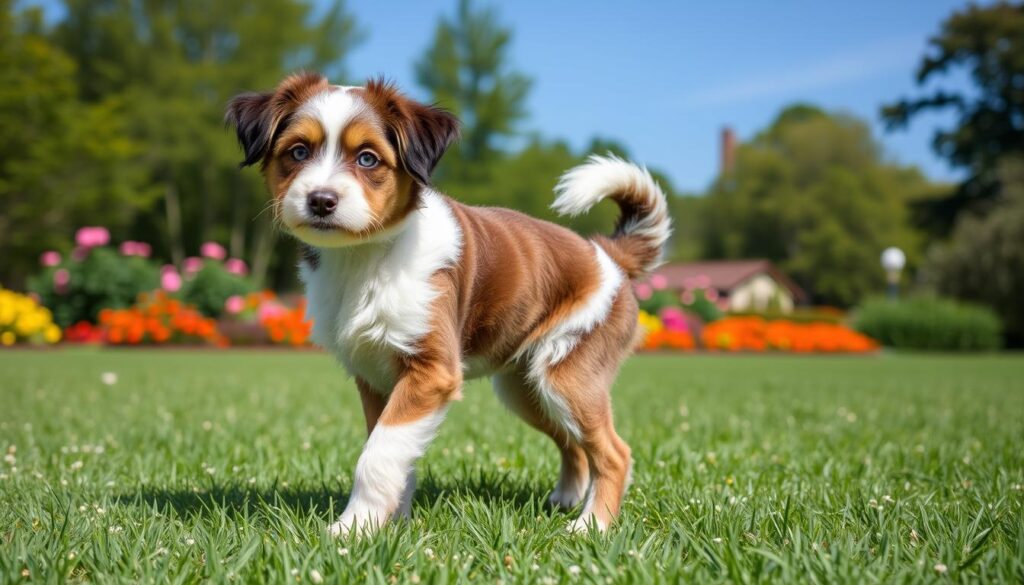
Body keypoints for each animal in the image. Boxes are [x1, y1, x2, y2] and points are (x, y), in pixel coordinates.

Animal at [225, 72, 671, 536]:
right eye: (298, 151)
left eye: (368, 159)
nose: (321, 200)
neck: (365, 259)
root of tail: (608, 255)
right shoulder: (375, 377)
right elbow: (394, 455)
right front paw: (390, 523)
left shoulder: (431, 371)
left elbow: (378, 455)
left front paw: (353, 529)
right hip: (526, 388)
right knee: (575, 443)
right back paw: (567, 500)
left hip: (568, 377)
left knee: (614, 452)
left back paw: (591, 526)